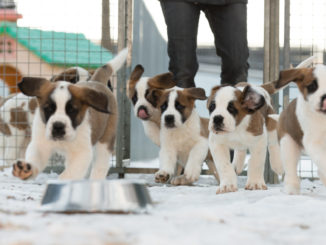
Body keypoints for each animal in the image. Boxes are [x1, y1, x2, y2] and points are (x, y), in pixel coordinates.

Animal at [10, 48, 127, 180]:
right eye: (48, 109)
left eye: (71, 110)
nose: (58, 126)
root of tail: (97, 82)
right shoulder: (40, 145)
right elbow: (35, 158)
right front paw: (26, 169)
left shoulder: (82, 153)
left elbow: (69, 174)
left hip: (105, 140)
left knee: (100, 165)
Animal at [276, 64, 326, 194]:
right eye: (312, 86)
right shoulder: (313, 143)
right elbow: (323, 159)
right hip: (288, 144)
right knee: (291, 170)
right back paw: (291, 190)